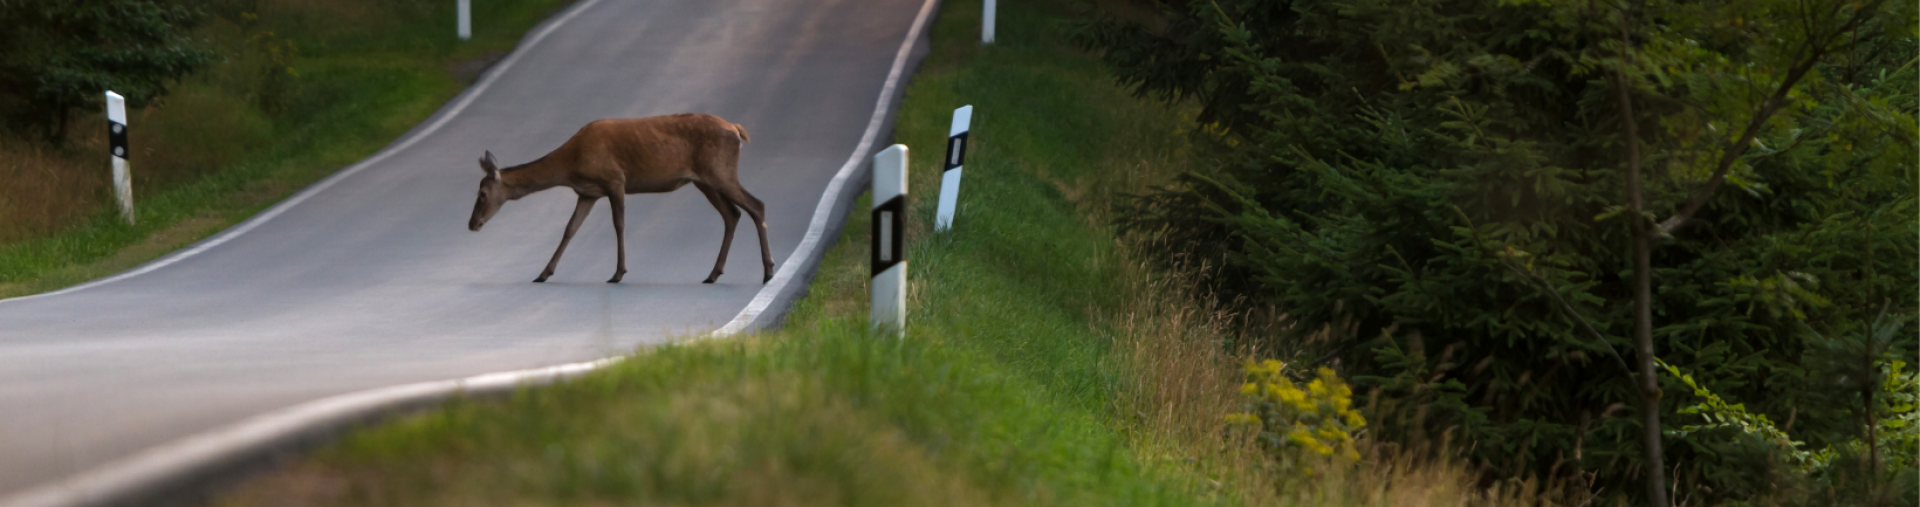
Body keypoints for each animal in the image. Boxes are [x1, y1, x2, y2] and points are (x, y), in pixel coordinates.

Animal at [466, 113, 771, 284]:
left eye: (482, 193)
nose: (472, 224)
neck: (570, 164)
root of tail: (736, 129)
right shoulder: (587, 193)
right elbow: (570, 229)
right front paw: (543, 273)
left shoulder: (615, 180)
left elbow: (619, 224)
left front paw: (618, 272)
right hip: (704, 180)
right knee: (732, 214)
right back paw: (713, 273)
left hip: (719, 171)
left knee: (756, 205)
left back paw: (767, 271)